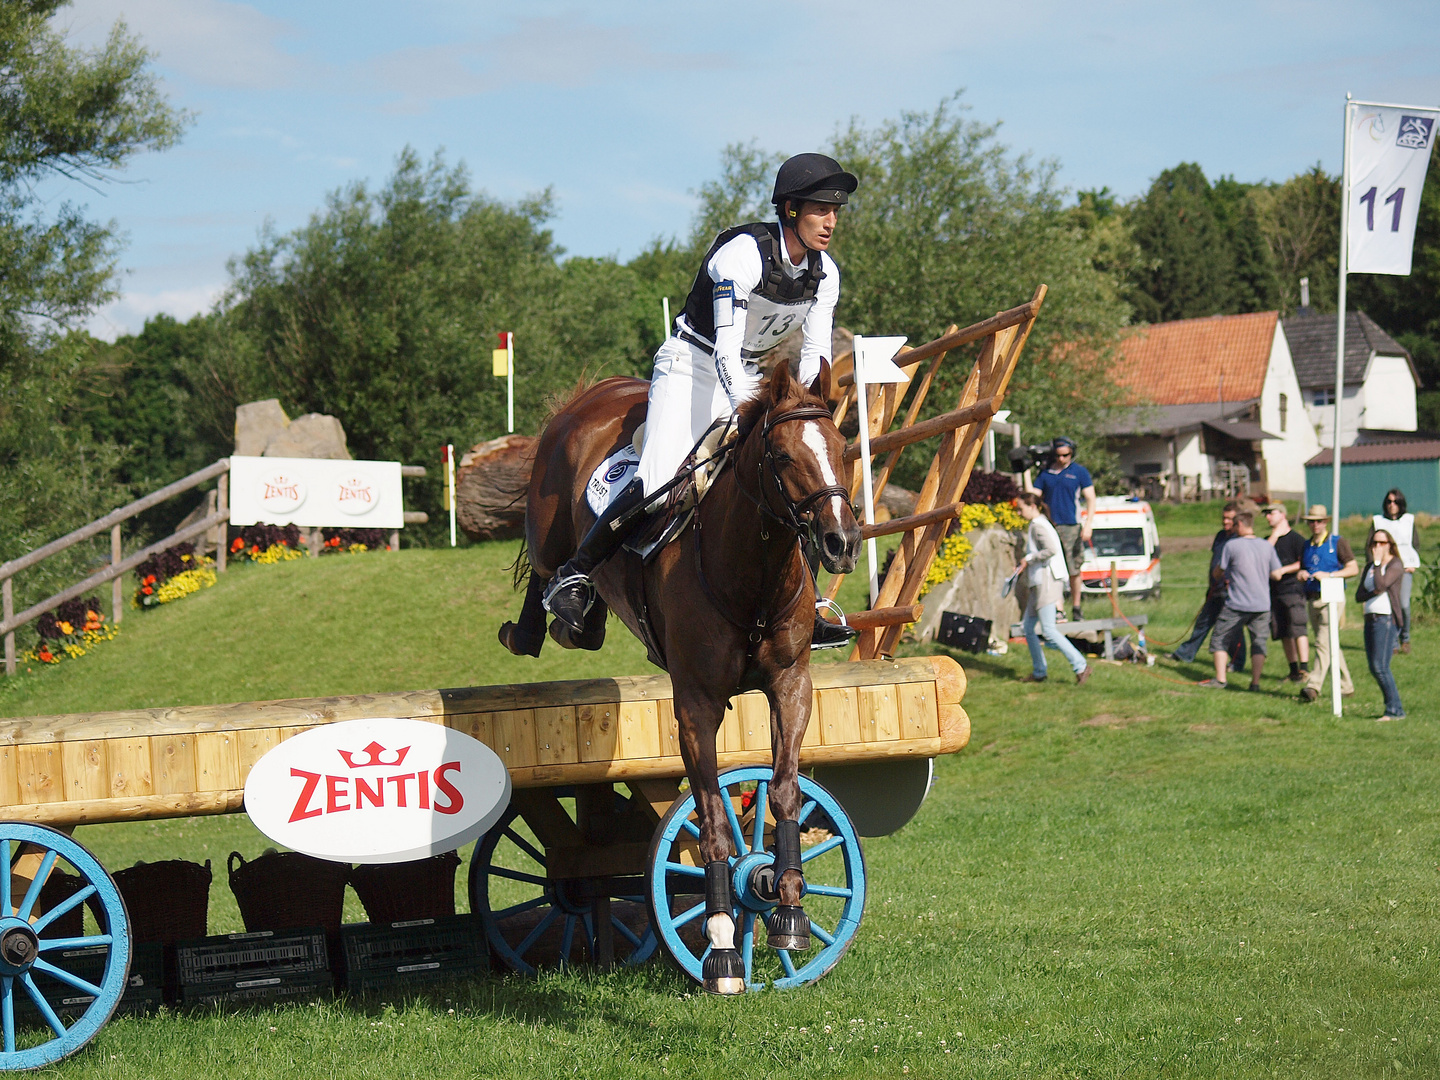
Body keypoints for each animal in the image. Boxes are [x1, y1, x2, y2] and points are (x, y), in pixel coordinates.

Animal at [504, 360, 858, 996]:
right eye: (784, 456)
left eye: (843, 449)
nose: (842, 543)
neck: (751, 575)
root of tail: (593, 393)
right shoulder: (695, 705)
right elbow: (712, 815)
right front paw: (722, 943)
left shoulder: (791, 687)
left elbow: (785, 790)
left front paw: (789, 909)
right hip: (548, 529)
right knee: (548, 566)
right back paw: (547, 615)